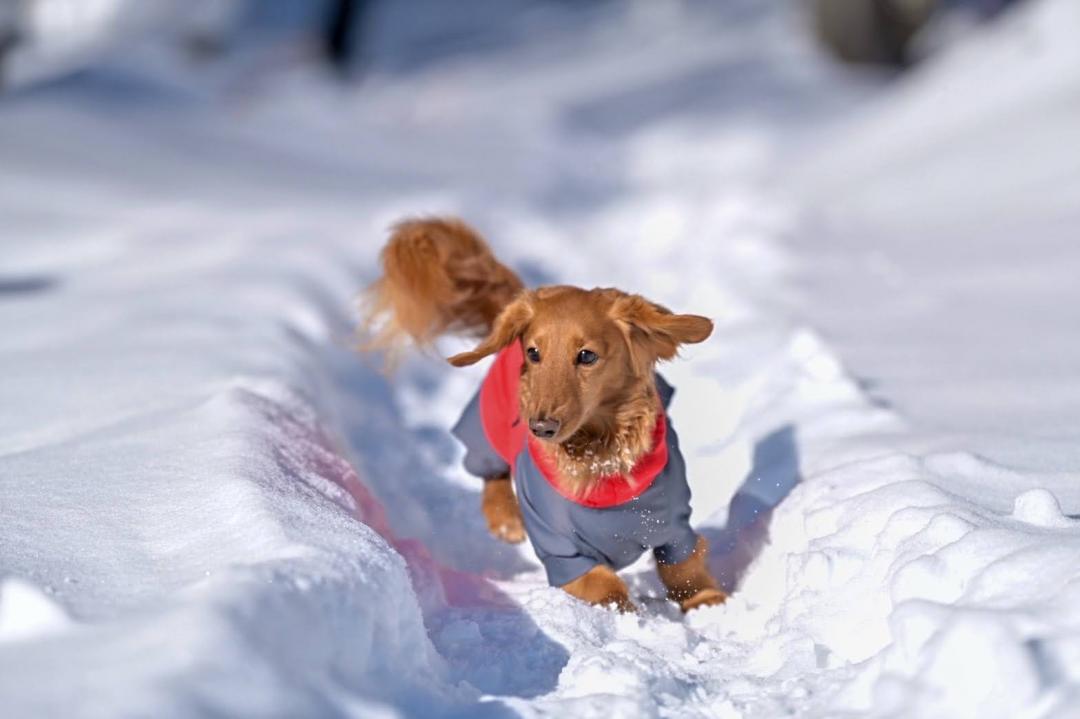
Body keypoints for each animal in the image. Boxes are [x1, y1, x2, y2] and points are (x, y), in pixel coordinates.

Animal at [362, 216, 725, 608]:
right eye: (534, 352)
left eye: (587, 355)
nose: (540, 428)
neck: (599, 456)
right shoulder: (563, 551)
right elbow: (606, 585)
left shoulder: (675, 528)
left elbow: (684, 570)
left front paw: (707, 603)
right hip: (485, 424)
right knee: (491, 472)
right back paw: (504, 519)